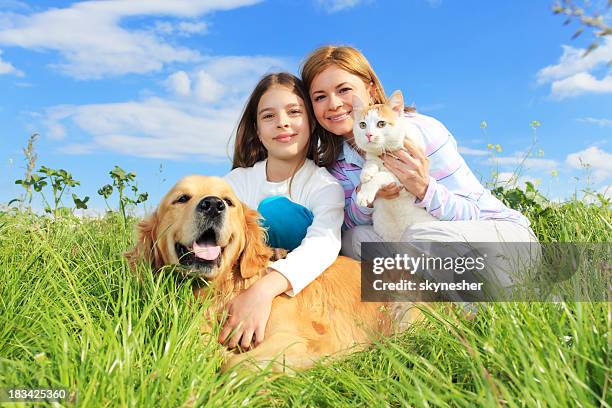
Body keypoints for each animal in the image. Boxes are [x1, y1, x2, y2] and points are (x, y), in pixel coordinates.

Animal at [125, 174, 420, 372]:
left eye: (228, 202)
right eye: (182, 198)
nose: (213, 205)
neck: (224, 290)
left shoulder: (299, 339)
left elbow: (235, 364)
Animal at [352, 91, 438, 241]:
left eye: (381, 124)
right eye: (362, 125)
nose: (368, 134)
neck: (385, 150)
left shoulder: (405, 181)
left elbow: (382, 175)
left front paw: (365, 192)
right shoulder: (373, 156)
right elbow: (371, 161)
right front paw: (366, 173)